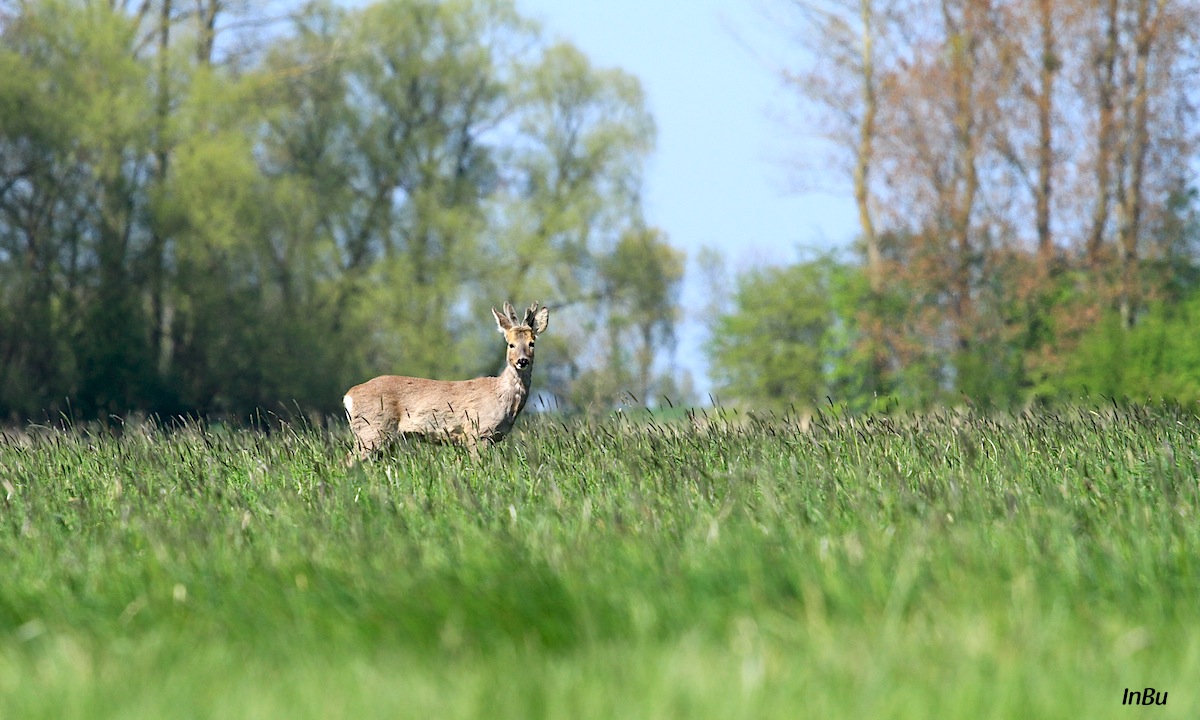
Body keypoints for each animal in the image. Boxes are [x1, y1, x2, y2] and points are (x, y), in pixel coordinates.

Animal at [340, 300, 549, 460]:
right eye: (510, 344)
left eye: (531, 343)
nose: (522, 361)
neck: (502, 399)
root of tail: (348, 396)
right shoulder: (476, 432)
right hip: (372, 430)